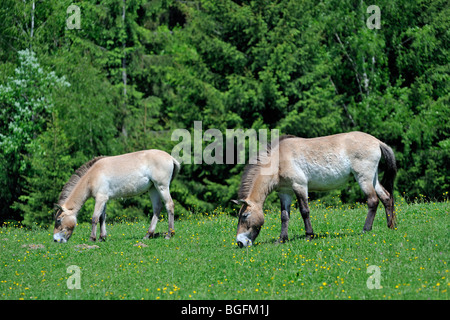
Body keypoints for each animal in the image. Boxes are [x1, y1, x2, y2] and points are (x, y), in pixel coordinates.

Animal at [232, 132, 398, 248]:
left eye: (245, 216)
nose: (240, 242)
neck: (278, 161)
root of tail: (377, 142)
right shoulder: (285, 193)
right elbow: (284, 216)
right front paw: (282, 239)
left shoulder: (299, 186)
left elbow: (304, 211)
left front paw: (309, 235)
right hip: (373, 178)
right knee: (386, 197)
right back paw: (391, 226)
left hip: (363, 178)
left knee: (373, 201)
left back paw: (366, 229)